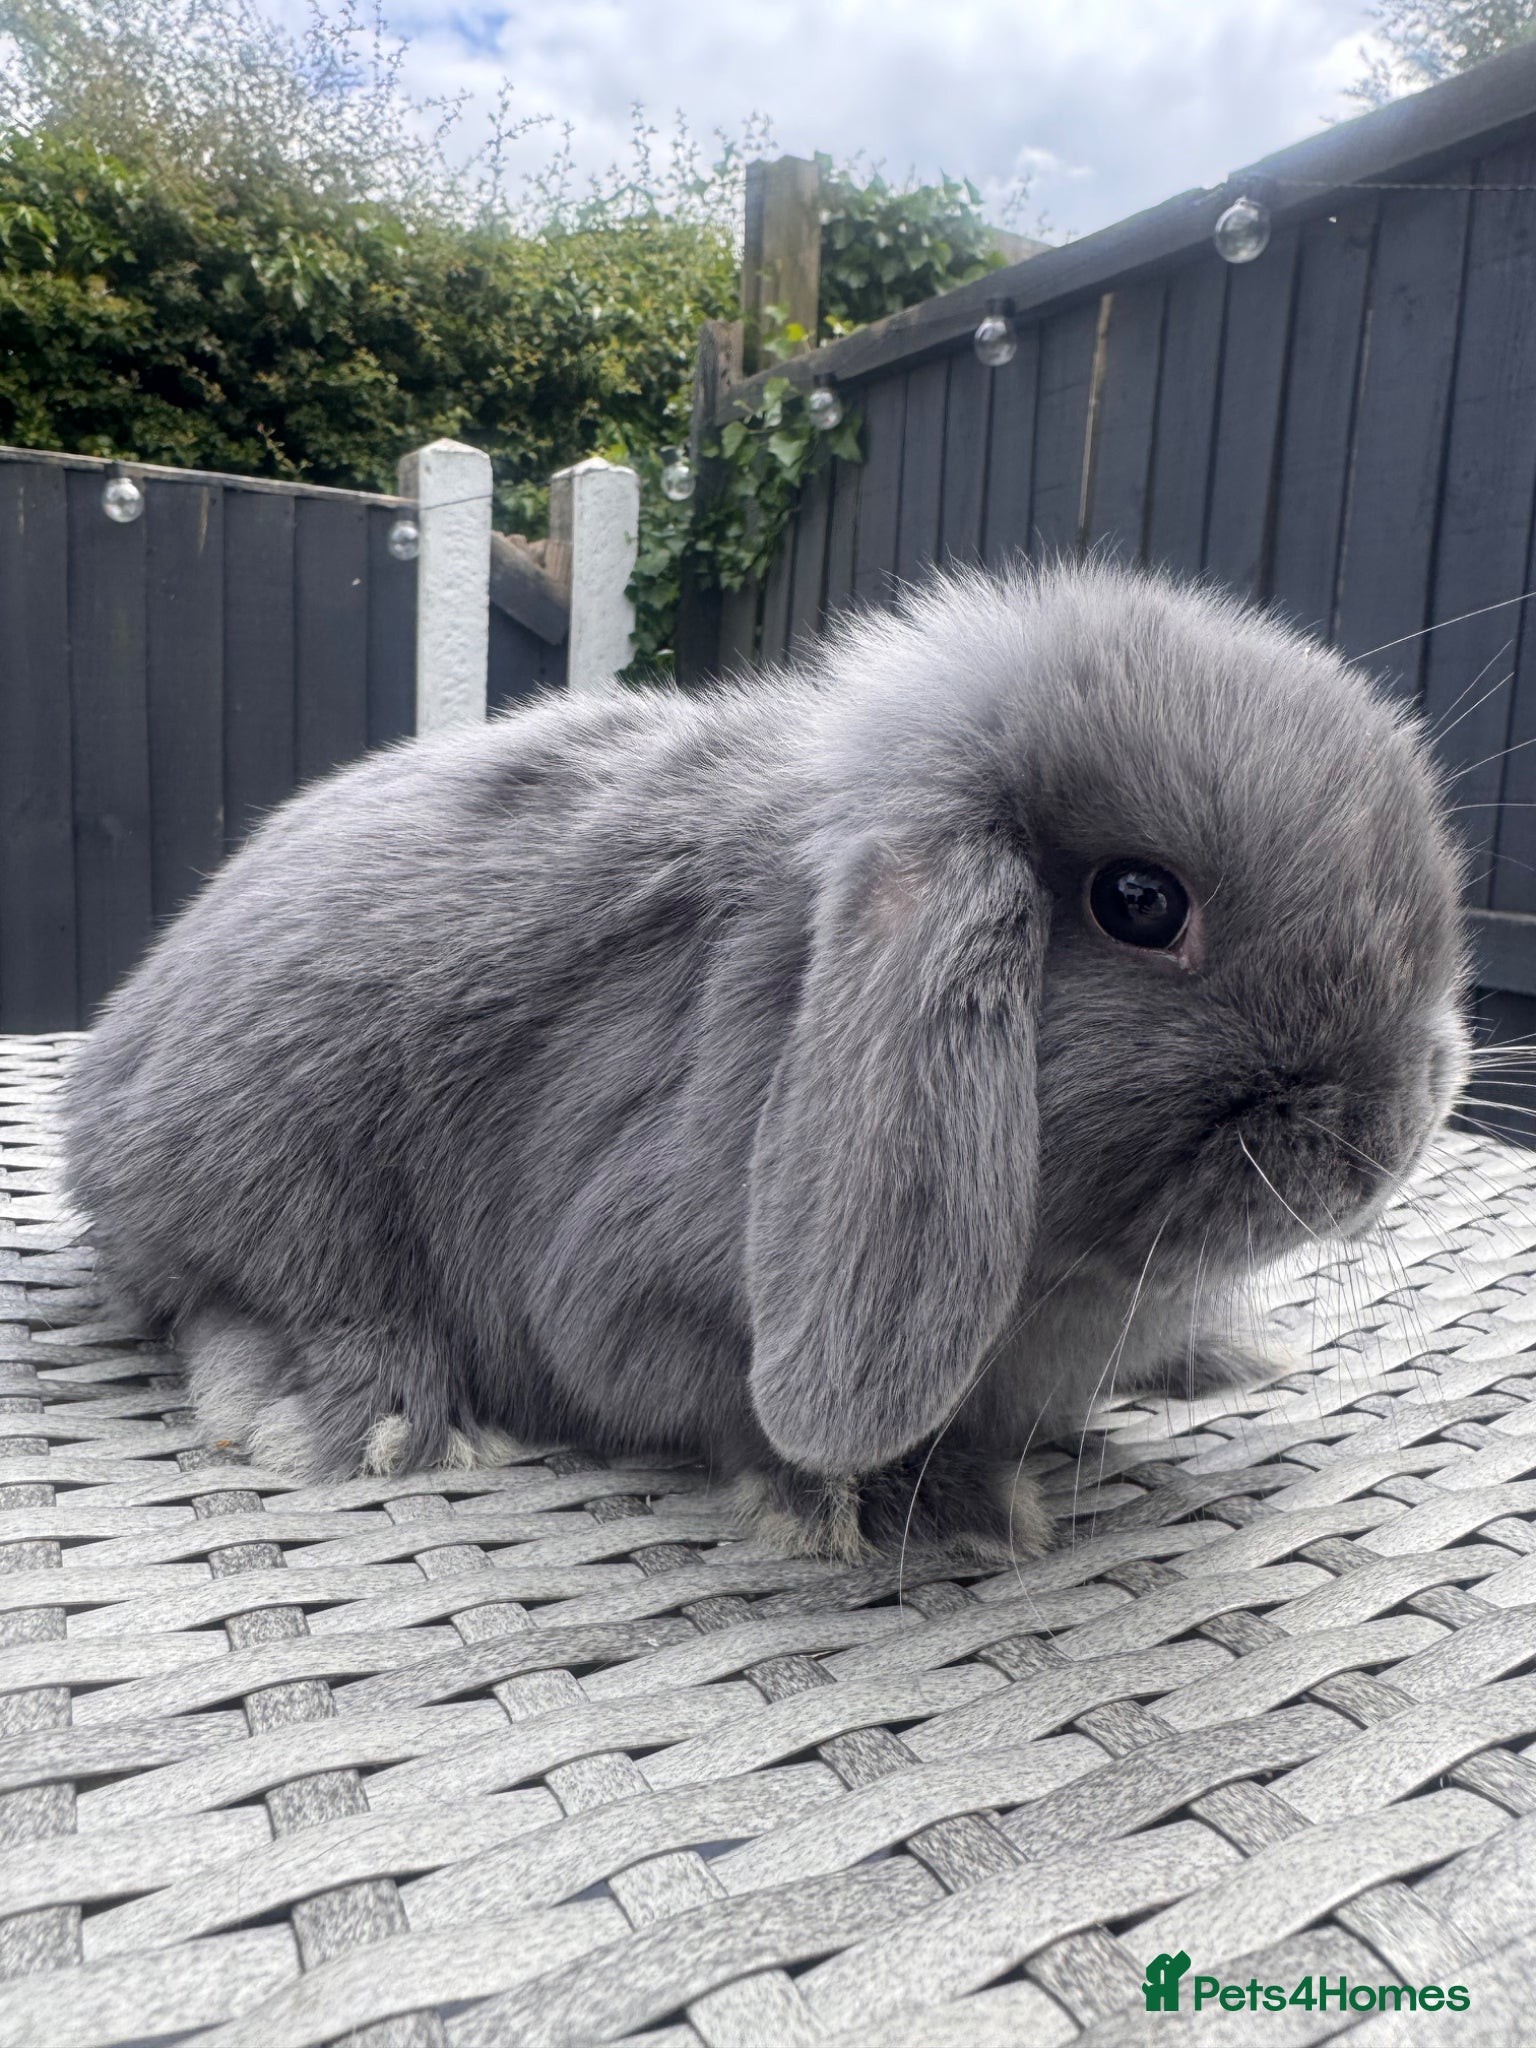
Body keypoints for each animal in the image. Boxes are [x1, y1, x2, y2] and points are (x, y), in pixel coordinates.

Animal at [61, 559, 1470, 1563]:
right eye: (1139, 900)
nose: (1389, 1138)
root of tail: (108, 1071)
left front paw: (1212, 1360)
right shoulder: (631, 1292)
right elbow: (732, 1409)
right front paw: (926, 1509)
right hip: (272, 1177)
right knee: (240, 1301)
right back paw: (366, 1416)